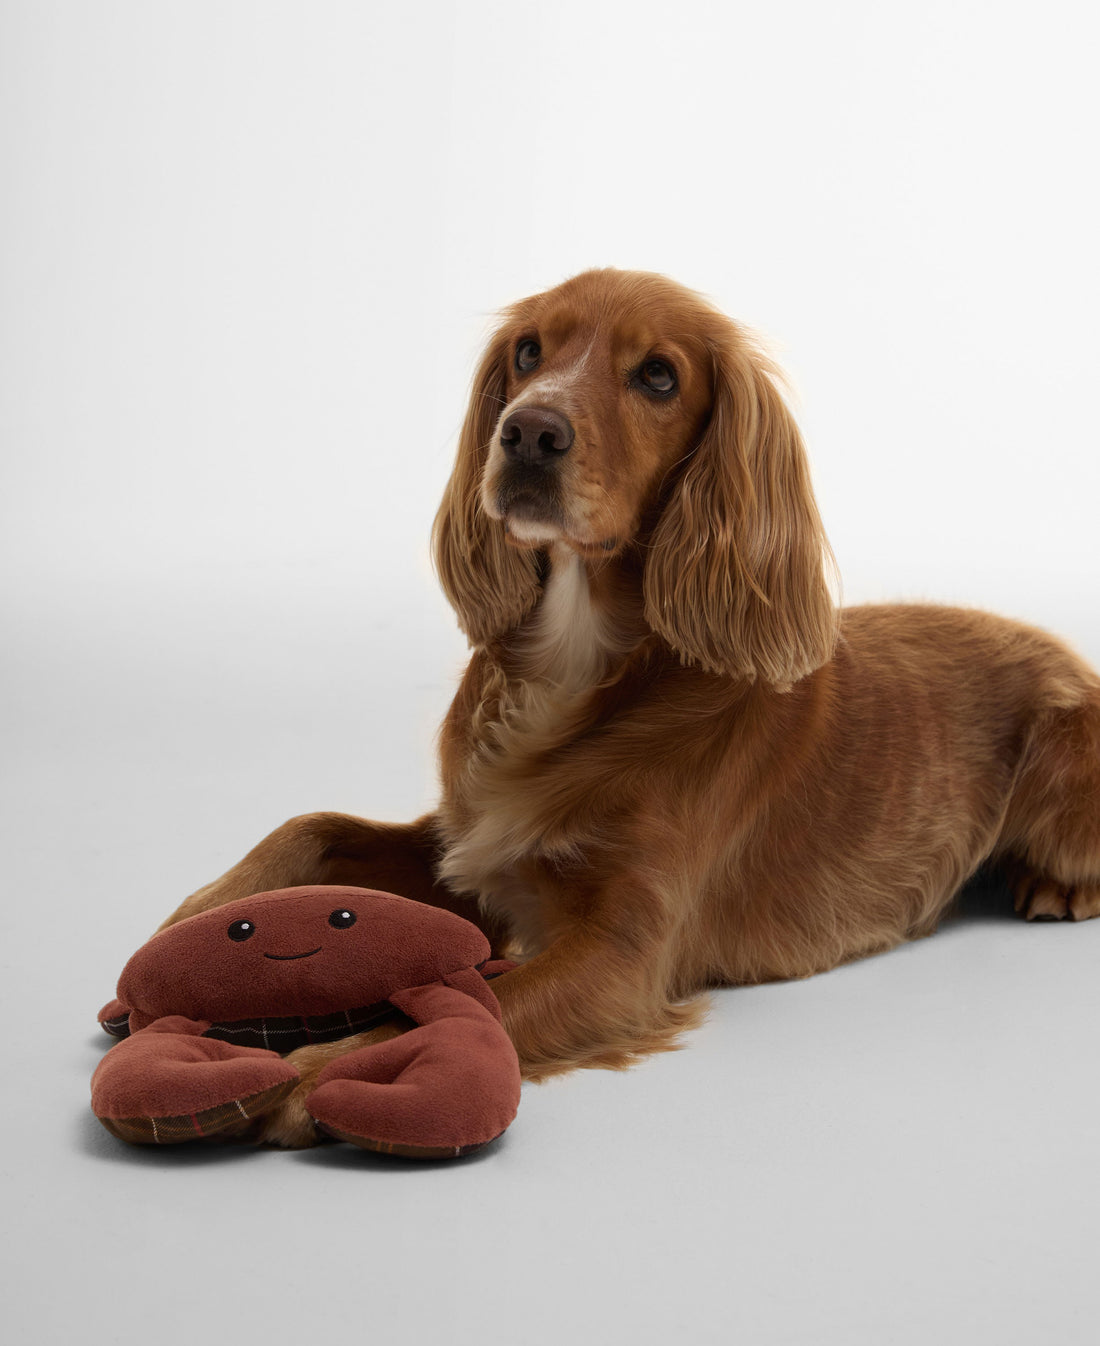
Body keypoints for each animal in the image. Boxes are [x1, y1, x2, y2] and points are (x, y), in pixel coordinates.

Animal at [160, 265, 1098, 1146]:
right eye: (529, 352)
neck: (577, 667)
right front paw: (194, 921)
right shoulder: (470, 843)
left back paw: (1049, 885)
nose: (528, 431)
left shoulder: (623, 954)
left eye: (657, 376)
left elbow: (470, 1006)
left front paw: (314, 1072)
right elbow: (311, 826)